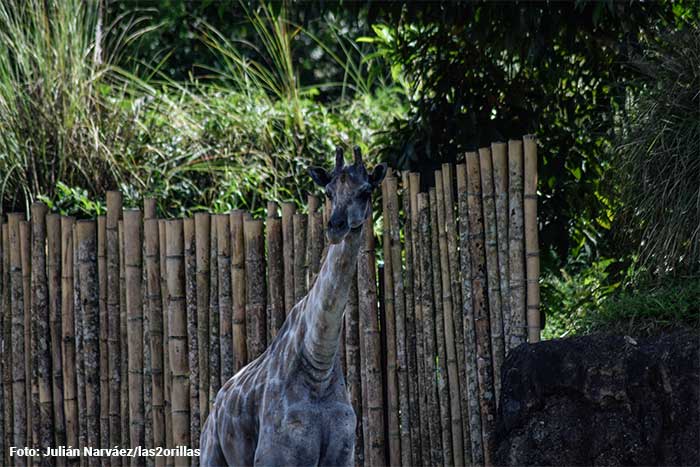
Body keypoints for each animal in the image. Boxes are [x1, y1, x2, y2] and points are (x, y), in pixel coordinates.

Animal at [200, 146, 387, 466]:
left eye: (365, 191)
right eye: (328, 192)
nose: (336, 227)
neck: (318, 368)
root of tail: (216, 406)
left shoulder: (343, 455)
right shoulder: (275, 456)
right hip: (212, 455)